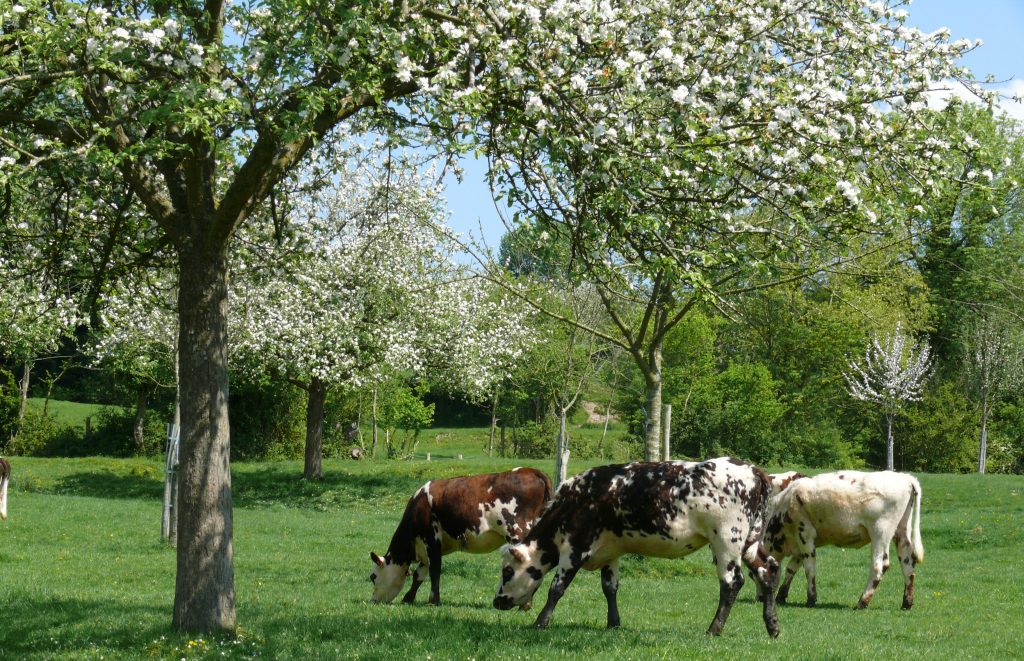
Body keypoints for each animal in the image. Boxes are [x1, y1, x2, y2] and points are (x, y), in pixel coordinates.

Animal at [364, 468, 548, 609]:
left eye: (373, 576)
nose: (373, 601)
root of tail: (529, 470)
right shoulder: (425, 549)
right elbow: (419, 575)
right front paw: (408, 598)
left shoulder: (431, 540)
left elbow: (434, 571)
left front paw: (433, 601)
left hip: (518, 531)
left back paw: (525, 605)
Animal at [491, 458, 778, 638]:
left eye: (507, 571)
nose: (496, 601)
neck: (577, 499)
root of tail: (753, 470)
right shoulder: (610, 552)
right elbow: (610, 589)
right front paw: (613, 623)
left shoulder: (575, 548)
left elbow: (556, 588)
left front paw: (541, 621)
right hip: (750, 542)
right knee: (767, 570)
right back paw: (772, 625)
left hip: (727, 541)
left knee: (732, 582)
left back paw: (714, 629)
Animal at [765, 470, 925, 609]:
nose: (761, 598)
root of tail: (905, 477)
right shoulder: (800, 544)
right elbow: (792, 568)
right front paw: (781, 595)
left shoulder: (805, 534)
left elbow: (809, 567)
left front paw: (811, 598)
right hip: (901, 531)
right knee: (908, 563)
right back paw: (907, 603)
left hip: (880, 532)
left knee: (879, 566)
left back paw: (862, 602)